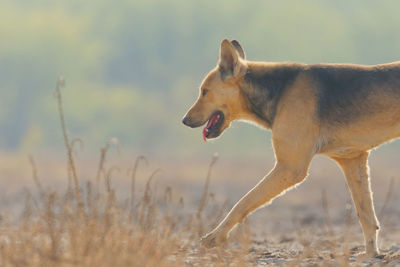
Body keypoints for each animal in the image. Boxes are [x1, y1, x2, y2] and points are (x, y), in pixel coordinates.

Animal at [181, 39, 400, 258]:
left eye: (204, 92)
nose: (184, 120)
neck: (278, 91)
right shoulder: (352, 159)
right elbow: (366, 216)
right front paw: (371, 254)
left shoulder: (290, 168)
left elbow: (243, 201)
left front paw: (214, 237)